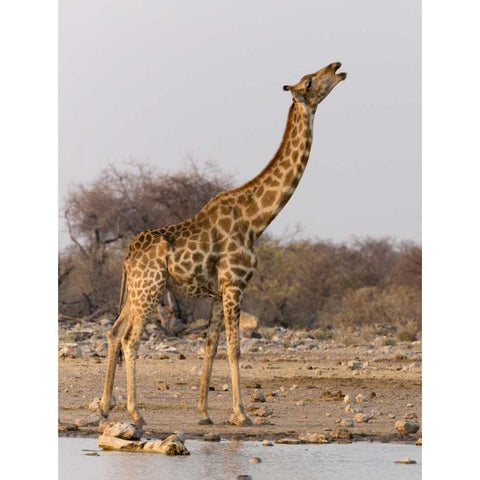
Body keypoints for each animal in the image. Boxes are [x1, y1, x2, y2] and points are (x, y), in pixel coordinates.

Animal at [96, 62, 344, 426]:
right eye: (311, 81)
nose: (337, 67)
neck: (256, 220)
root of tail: (128, 257)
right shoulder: (234, 284)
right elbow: (235, 347)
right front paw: (241, 413)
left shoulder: (216, 292)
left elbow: (210, 344)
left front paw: (203, 412)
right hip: (150, 289)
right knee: (131, 338)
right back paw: (135, 411)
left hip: (137, 291)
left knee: (114, 331)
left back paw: (104, 405)